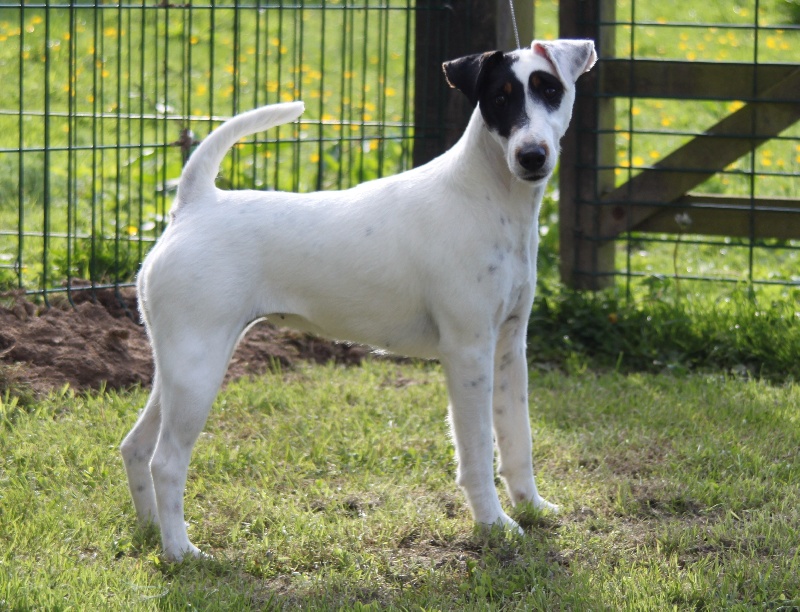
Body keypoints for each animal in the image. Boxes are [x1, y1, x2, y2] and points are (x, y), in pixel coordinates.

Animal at [119, 39, 592, 560]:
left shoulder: (509, 348)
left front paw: (533, 507)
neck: (488, 198)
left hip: (176, 370)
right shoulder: (468, 352)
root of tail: (194, 205)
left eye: (550, 90)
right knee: (166, 461)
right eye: (500, 98)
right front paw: (494, 525)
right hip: (197, 371)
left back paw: (151, 531)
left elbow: (516, 440)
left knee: (136, 446)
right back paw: (182, 552)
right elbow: (476, 452)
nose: (532, 155)